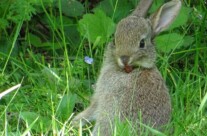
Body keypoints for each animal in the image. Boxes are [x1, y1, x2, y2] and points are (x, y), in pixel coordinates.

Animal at [72, 0, 181, 135]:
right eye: (114, 39)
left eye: (142, 43)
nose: (124, 58)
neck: (132, 68)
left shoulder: (101, 95)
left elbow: (91, 109)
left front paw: (74, 122)